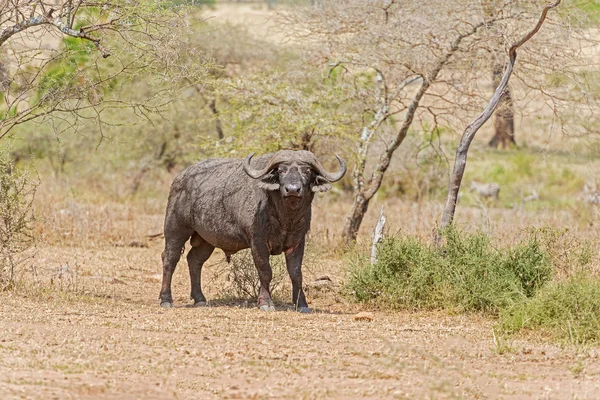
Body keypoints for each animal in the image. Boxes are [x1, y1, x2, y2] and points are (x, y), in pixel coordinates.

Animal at [158, 149, 346, 312]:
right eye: (281, 170)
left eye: (307, 171)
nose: (292, 189)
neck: (285, 217)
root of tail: (180, 178)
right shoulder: (258, 241)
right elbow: (265, 271)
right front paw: (266, 303)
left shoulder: (297, 242)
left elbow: (296, 273)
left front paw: (302, 304)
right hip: (175, 229)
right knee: (170, 258)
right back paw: (166, 299)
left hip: (206, 240)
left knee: (194, 260)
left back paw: (199, 299)